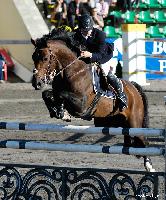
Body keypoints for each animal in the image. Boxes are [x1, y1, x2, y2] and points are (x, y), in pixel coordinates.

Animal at [31, 30, 156, 172]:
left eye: (45, 58)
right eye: (33, 57)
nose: (37, 83)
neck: (73, 71)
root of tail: (134, 88)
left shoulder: (81, 104)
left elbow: (60, 94)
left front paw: (63, 113)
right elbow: (47, 94)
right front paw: (59, 112)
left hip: (134, 122)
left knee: (143, 140)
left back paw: (150, 167)